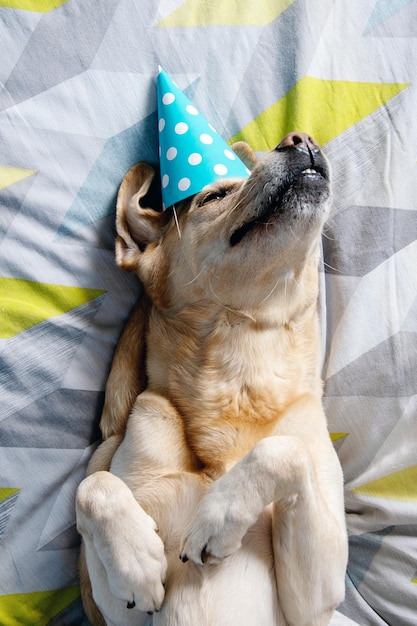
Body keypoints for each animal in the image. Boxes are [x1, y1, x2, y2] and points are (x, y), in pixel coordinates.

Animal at [75, 132, 348, 624]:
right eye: (215, 196)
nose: (300, 138)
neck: (236, 379)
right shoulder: (119, 614)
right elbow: (92, 486)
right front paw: (137, 564)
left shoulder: (316, 600)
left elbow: (284, 451)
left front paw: (217, 517)